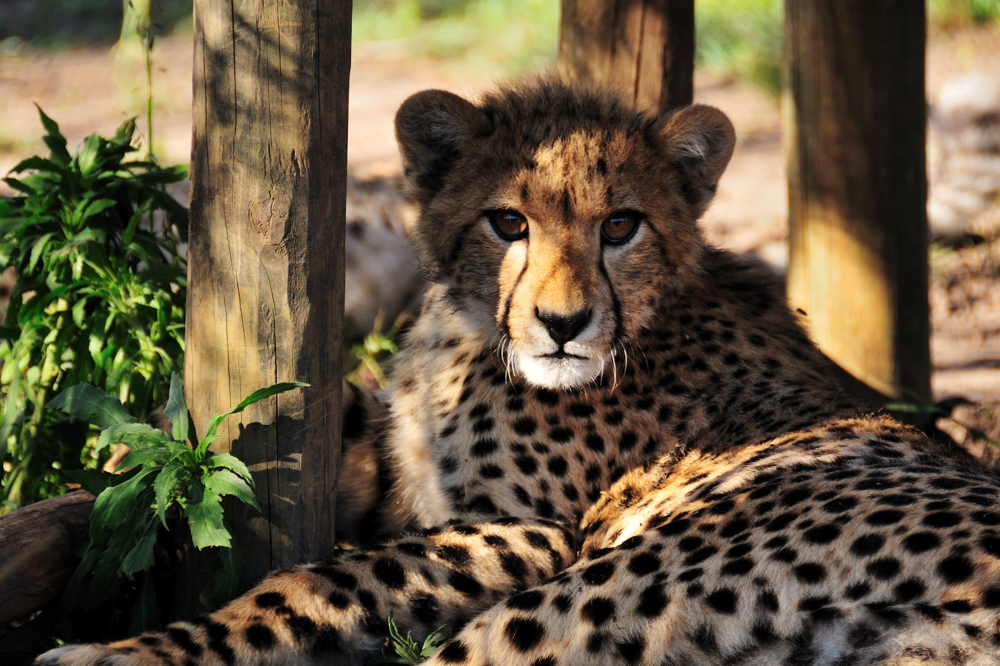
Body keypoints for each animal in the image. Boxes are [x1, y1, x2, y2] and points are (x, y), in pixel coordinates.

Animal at [35, 78, 1000, 664]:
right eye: (508, 223)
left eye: (621, 226)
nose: (563, 326)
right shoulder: (407, 475)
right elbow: (344, 420)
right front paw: (138, 461)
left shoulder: (529, 532)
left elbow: (313, 585)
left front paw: (120, 652)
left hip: (598, 591)